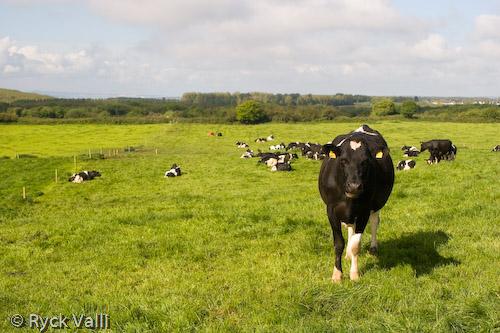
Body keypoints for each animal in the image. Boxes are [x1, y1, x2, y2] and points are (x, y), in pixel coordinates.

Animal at [320, 124, 394, 280]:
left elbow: (356, 244)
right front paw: (337, 275)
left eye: (366, 161)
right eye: (343, 160)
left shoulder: (364, 211)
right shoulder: (331, 210)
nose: (354, 186)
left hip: (376, 205)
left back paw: (373, 249)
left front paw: (354, 274)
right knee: (350, 229)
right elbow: (339, 244)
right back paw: (347, 255)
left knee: (374, 223)